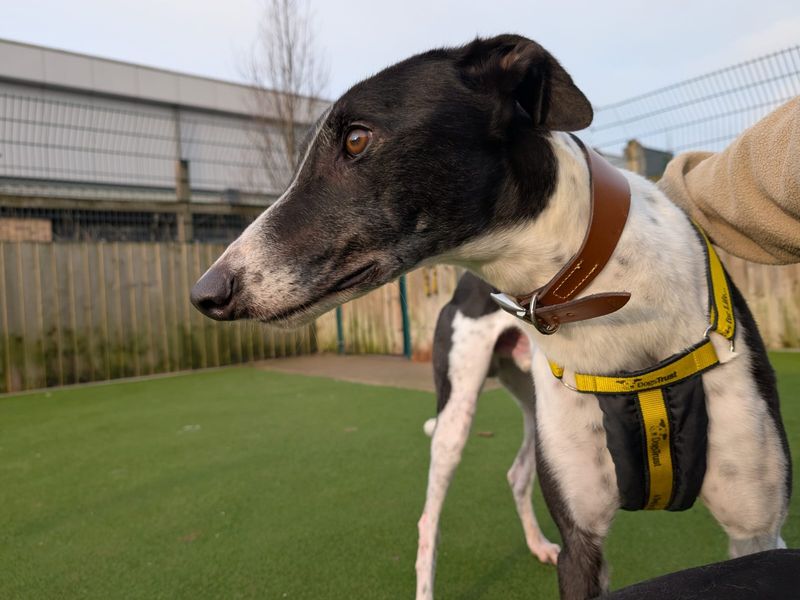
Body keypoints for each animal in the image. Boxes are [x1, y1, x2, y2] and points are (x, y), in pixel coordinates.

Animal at [191, 36, 792, 600]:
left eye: (357, 138)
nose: (207, 292)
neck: (599, 294)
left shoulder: (756, 531)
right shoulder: (583, 541)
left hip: (530, 405)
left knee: (516, 471)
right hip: (455, 412)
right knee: (429, 521)